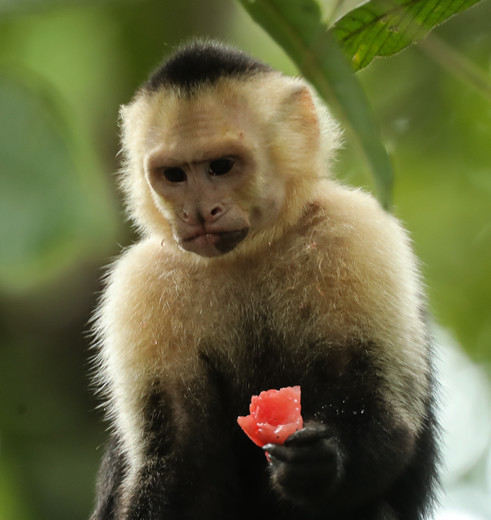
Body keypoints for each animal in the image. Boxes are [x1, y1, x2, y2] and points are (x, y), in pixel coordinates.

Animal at [90, 40, 440, 520]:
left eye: (221, 167)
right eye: (175, 174)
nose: (199, 212)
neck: (249, 252)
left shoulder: (356, 230)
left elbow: (387, 417)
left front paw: (320, 463)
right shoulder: (140, 283)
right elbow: (181, 460)